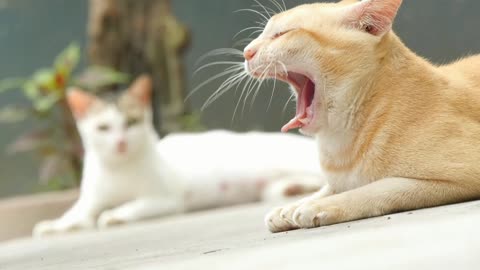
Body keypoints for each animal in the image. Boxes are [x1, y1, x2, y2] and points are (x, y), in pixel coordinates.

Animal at [33, 75, 322, 236]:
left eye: (131, 122)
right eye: (103, 128)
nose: (120, 143)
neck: (119, 169)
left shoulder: (164, 200)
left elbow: (133, 206)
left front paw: (115, 214)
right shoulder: (89, 201)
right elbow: (76, 216)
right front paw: (53, 225)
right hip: (271, 186)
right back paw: (296, 189)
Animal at [242, 0, 480, 232]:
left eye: (282, 34)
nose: (246, 52)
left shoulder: (464, 174)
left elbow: (376, 188)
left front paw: (319, 206)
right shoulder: (337, 179)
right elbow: (331, 187)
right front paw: (292, 206)